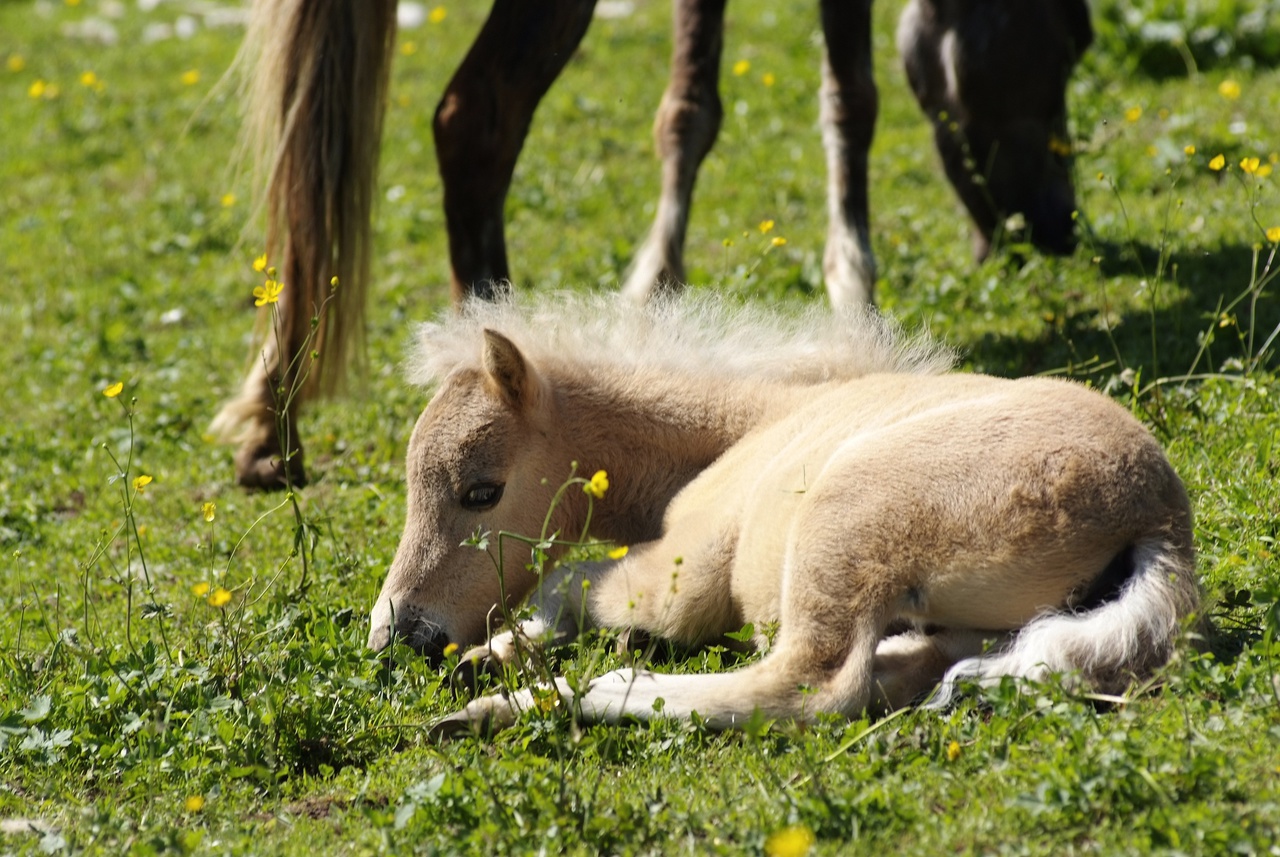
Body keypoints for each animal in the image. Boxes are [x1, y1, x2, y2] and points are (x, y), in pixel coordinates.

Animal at [212, 0, 1093, 491]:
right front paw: (852, 284)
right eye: (1075, 38)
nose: (1059, 225)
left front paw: (656, 288)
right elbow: (850, 94)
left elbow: (688, 103)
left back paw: (272, 424)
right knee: (473, 117)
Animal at [367, 292, 1200, 734]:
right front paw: (496, 650)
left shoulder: (688, 572)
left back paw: (538, 702)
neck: (741, 425)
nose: (400, 632)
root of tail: (1157, 512)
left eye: (481, 490)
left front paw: (505, 652)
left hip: (844, 526)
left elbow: (574, 584)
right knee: (920, 665)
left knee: (811, 682)